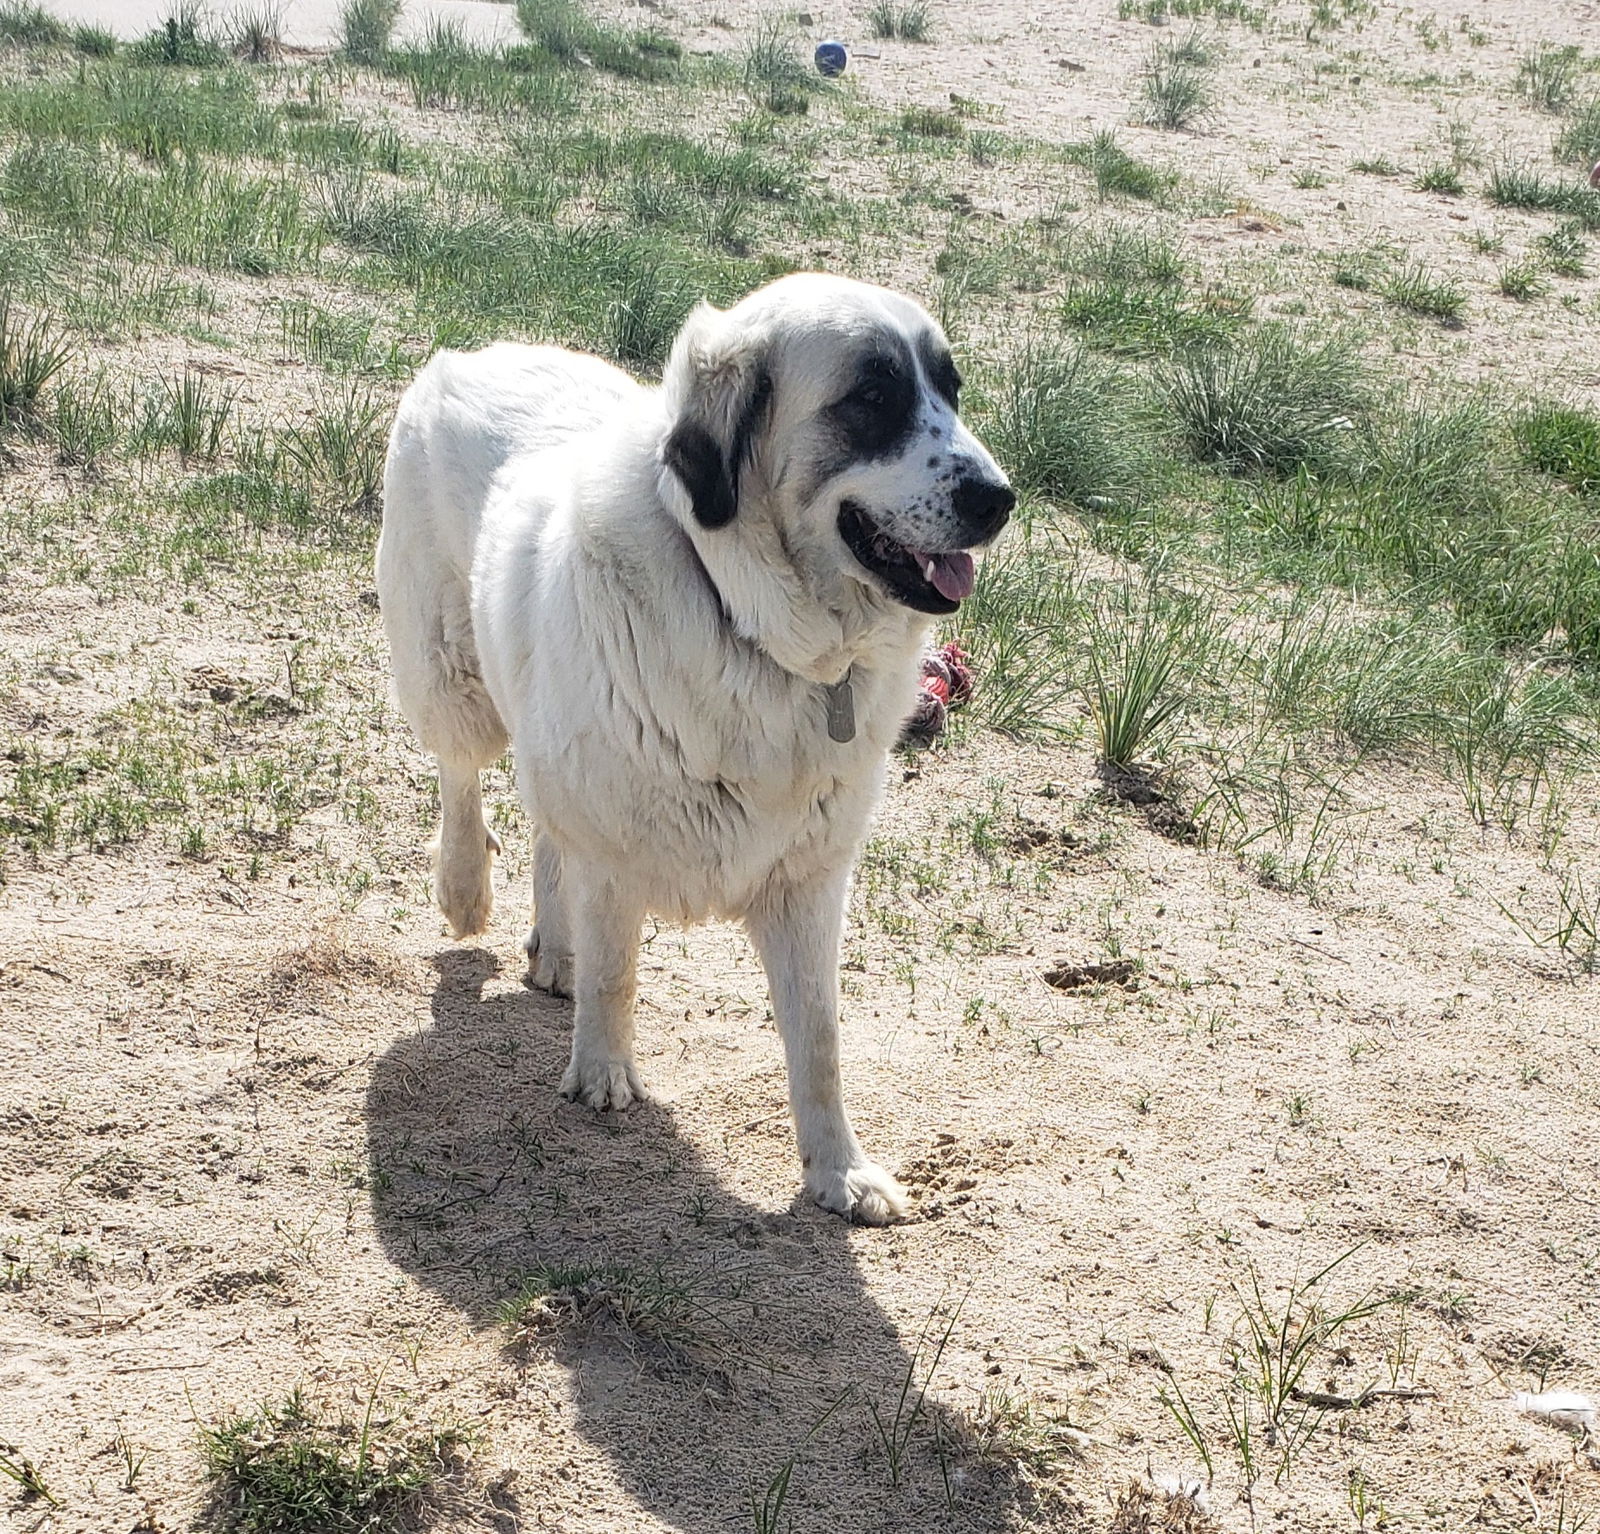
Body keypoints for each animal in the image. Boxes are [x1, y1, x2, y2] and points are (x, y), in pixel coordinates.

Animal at [377, 275, 1011, 1222]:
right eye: (872, 398)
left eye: (951, 391)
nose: (1000, 499)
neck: (755, 626)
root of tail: (476, 353)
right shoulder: (614, 832)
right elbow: (617, 971)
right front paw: (602, 1073)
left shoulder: (807, 880)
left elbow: (820, 1043)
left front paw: (839, 1169)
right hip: (450, 672)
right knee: (463, 774)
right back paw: (466, 889)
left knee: (542, 826)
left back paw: (553, 949)